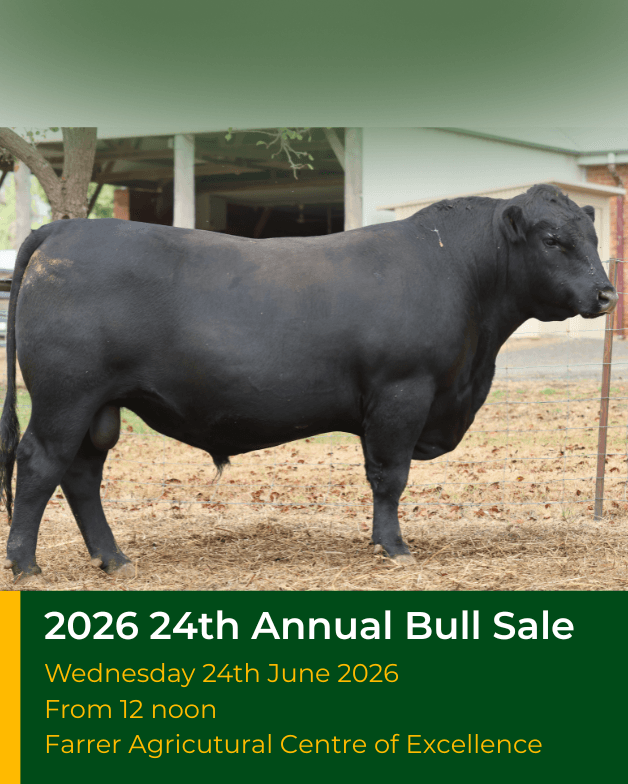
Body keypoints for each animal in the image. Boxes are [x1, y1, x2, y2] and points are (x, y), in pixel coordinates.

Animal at [0, 184, 617, 580]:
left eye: (590, 236)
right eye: (551, 239)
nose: (607, 293)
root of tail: (63, 228)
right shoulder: (402, 392)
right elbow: (389, 477)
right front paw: (394, 548)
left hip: (98, 406)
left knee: (81, 474)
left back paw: (114, 560)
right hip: (66, 397)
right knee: (40, 463)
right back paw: (27, 565)